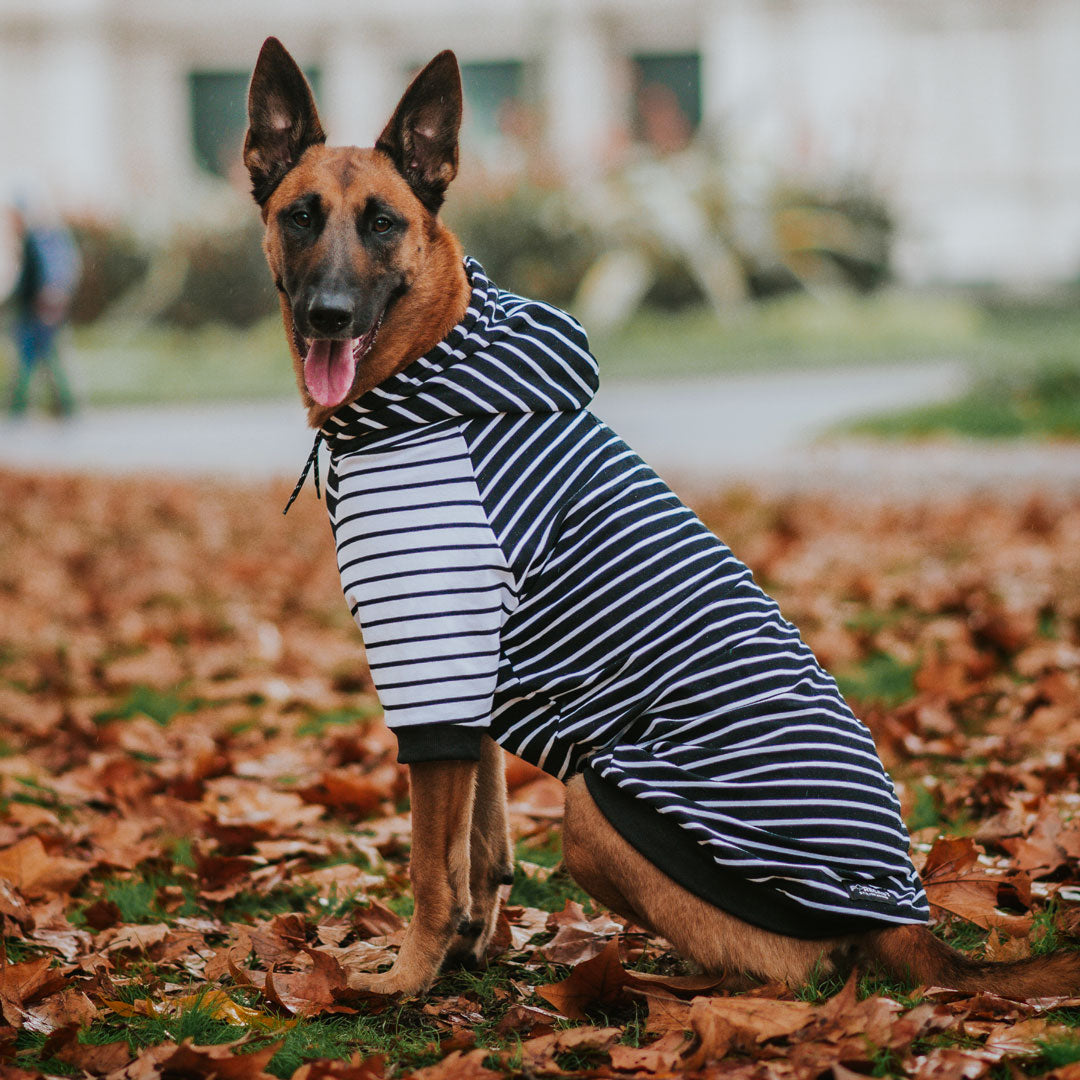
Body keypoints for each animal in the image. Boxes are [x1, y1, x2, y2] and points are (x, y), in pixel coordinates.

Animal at [245, 38, 1080, 997]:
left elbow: (429, 864)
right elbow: (480, 846)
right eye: (300, 216)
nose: (328, 316)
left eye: (382, 223)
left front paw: (403, 981)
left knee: (790, 976)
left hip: (597, 807)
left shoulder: (434, 661)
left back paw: (666, 989)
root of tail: (903, 916)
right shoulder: (468, 683)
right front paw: (466, 952)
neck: (431, 380)